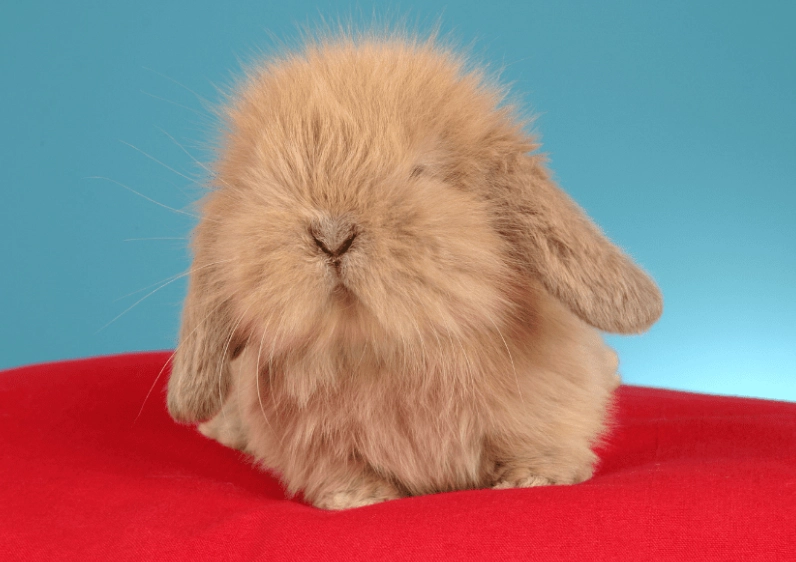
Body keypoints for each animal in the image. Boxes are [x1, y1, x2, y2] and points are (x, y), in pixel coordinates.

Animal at [166, 33, 663, 510]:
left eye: (422, 172)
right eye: (265, 186)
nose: (333, 236)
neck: (381, 352)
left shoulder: (550, 408)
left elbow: (543, 445)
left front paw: (532, 480)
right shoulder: (316, 450)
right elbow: (341, 475)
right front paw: (357, 499)